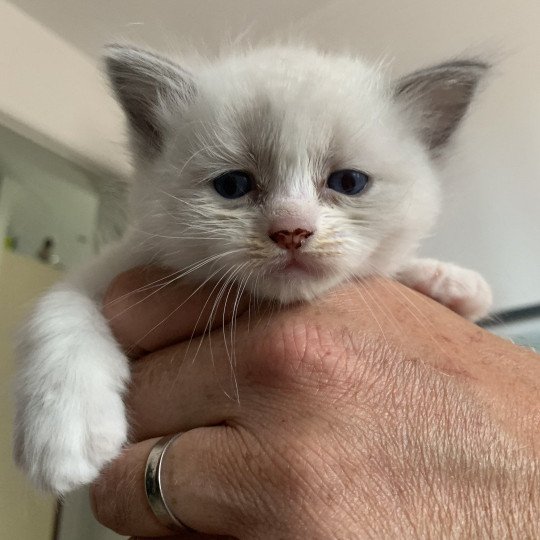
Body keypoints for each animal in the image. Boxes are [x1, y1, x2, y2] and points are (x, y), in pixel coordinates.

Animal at [12, 45, 494, 494]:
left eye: (348, 182)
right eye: (233, 185)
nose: (292, 230)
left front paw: (450, 281)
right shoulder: (105, 271)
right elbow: (61, 309)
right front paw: (63, 436)